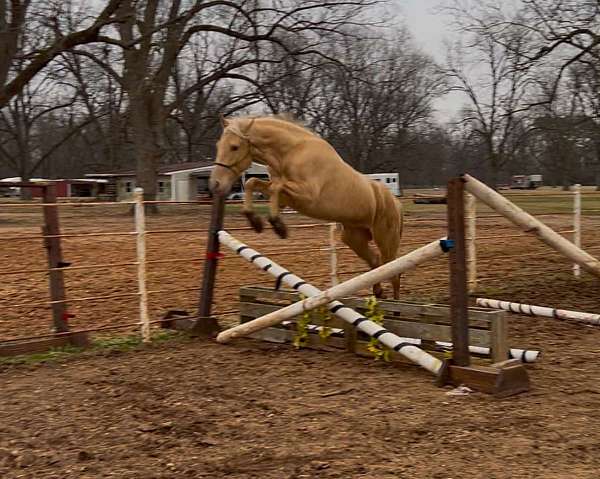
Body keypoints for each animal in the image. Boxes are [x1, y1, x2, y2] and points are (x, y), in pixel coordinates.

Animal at [210, 114, 404, 298]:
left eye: (234, 147)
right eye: (218, 145)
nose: (216, 184)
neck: (290, 152)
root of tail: (396, 203)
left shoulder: (307, 194)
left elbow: (276, 187)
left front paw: (278, 226)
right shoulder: (286, 197)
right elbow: (254, 183)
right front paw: (255, 221)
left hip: (385, 240)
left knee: (393, 272)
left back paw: (395, 303)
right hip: (354, 238)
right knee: (376, 262)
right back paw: (378, 293)